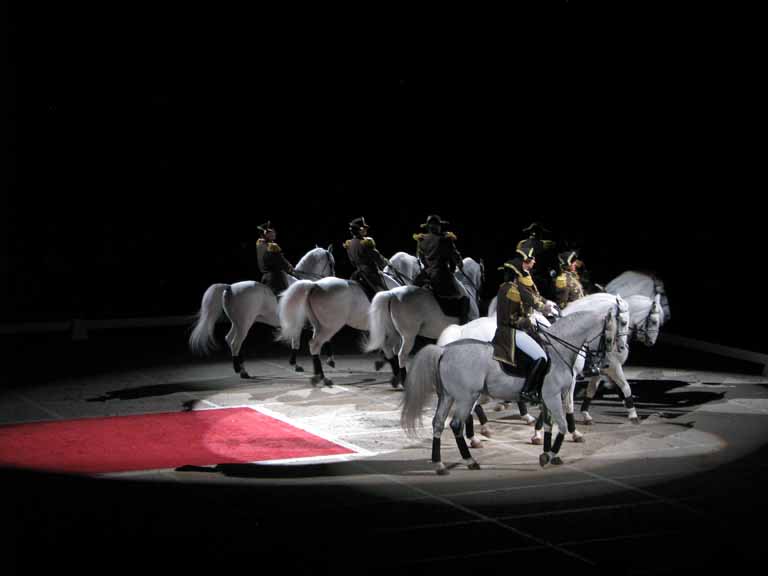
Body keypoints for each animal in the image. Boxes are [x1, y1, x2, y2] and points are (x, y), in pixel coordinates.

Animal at [188, 246, 334, 378]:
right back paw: (241, 371)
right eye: (332, 263)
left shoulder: (298, 323)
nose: (332, 277)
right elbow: (321, 339)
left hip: (237, 323)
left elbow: (295, 341)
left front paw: (295, 364)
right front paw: (330, 360)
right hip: (244, 324)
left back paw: (241, 367)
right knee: (235, 343)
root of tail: (229, 287)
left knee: (230, 340)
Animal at [402, 306, 624, 472]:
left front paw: (547, 451)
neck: (558, 351)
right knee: (457, 424)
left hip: (448, 397)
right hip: (465, 397)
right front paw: (550, 454)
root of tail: (444, 350)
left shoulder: (547, 399)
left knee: (439, 423)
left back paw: (439, 464)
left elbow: (549, 426)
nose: (602, 365)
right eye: (608, 337)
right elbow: (561, 425)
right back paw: (470, 459)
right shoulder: (553, 396)